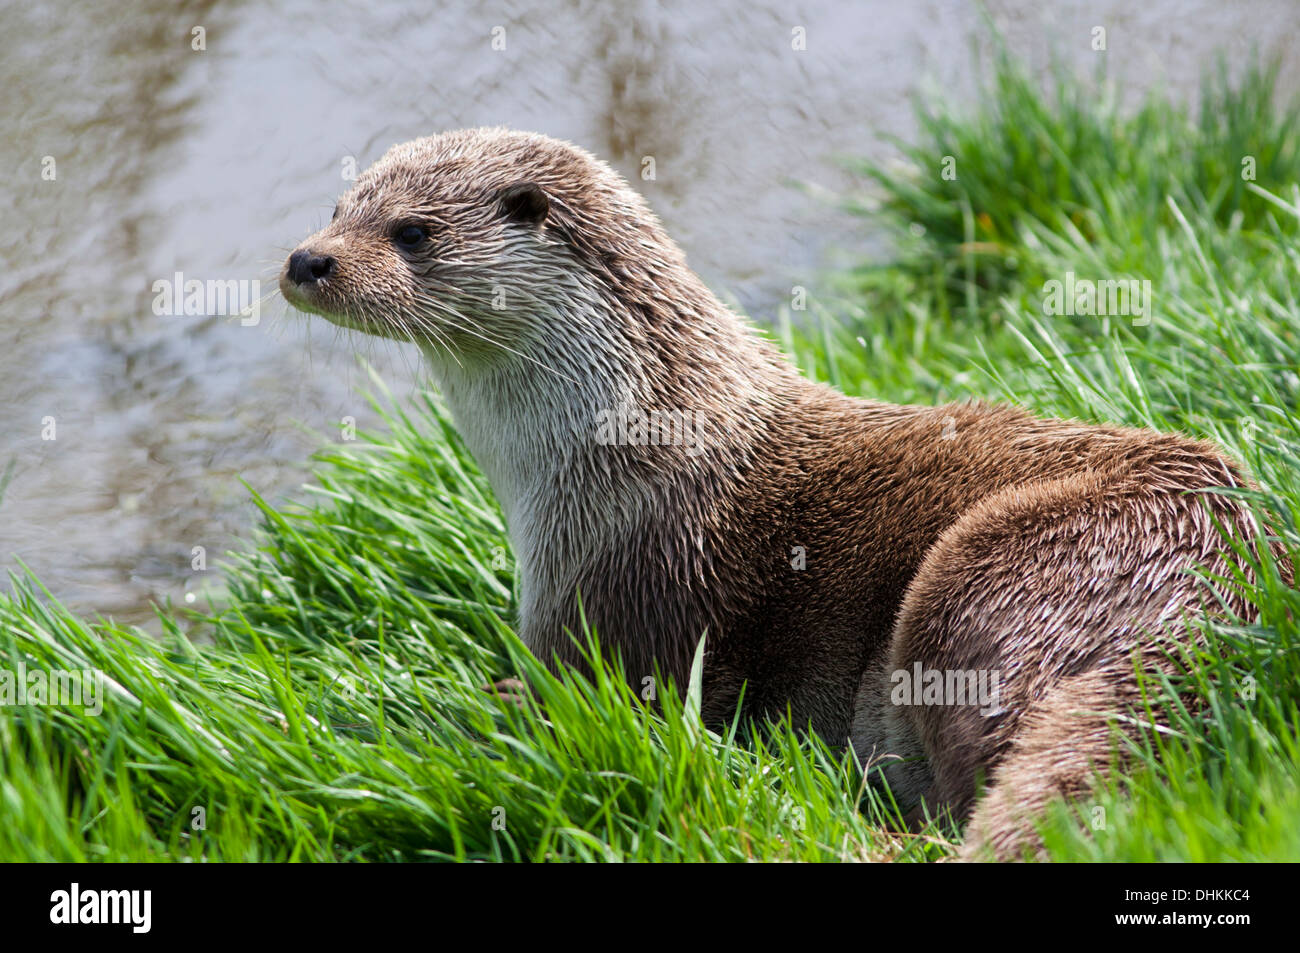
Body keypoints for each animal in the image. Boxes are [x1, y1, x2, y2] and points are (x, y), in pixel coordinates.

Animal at [279, 122, 1284, 858]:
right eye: (336, 206)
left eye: (413, 231)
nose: (305, 260)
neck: (631, 456)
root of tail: (1214, 597)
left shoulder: (622, 601)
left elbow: (597, 704)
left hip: (990, 572)